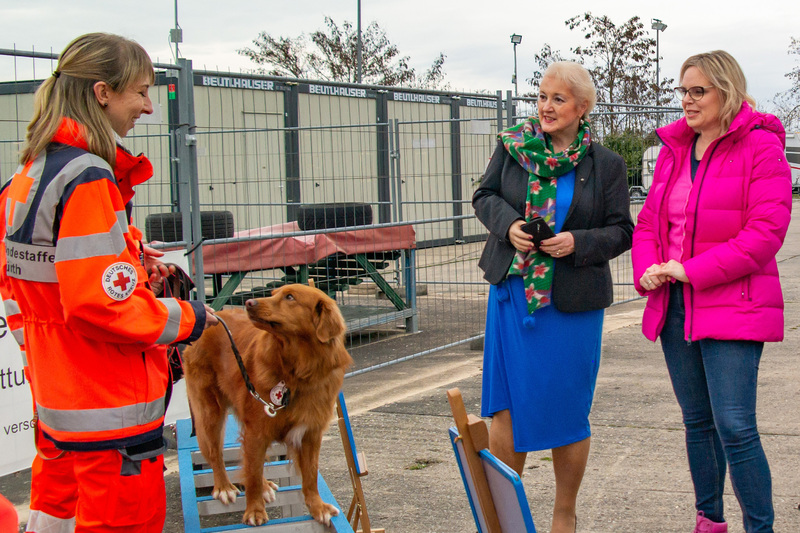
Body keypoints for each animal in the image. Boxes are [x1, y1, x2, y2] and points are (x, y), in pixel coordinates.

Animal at [186, 282, 354, 524]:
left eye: (290, 297)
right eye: (274, 294)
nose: (249, 302)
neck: (298, 371)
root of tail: (215, 316)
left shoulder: (310, 433)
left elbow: (310, 474)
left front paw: (317, 506)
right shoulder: (257, 431)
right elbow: (253, 474)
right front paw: (254, 511)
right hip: (210, 412)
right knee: (216, 453)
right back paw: (224, 486)